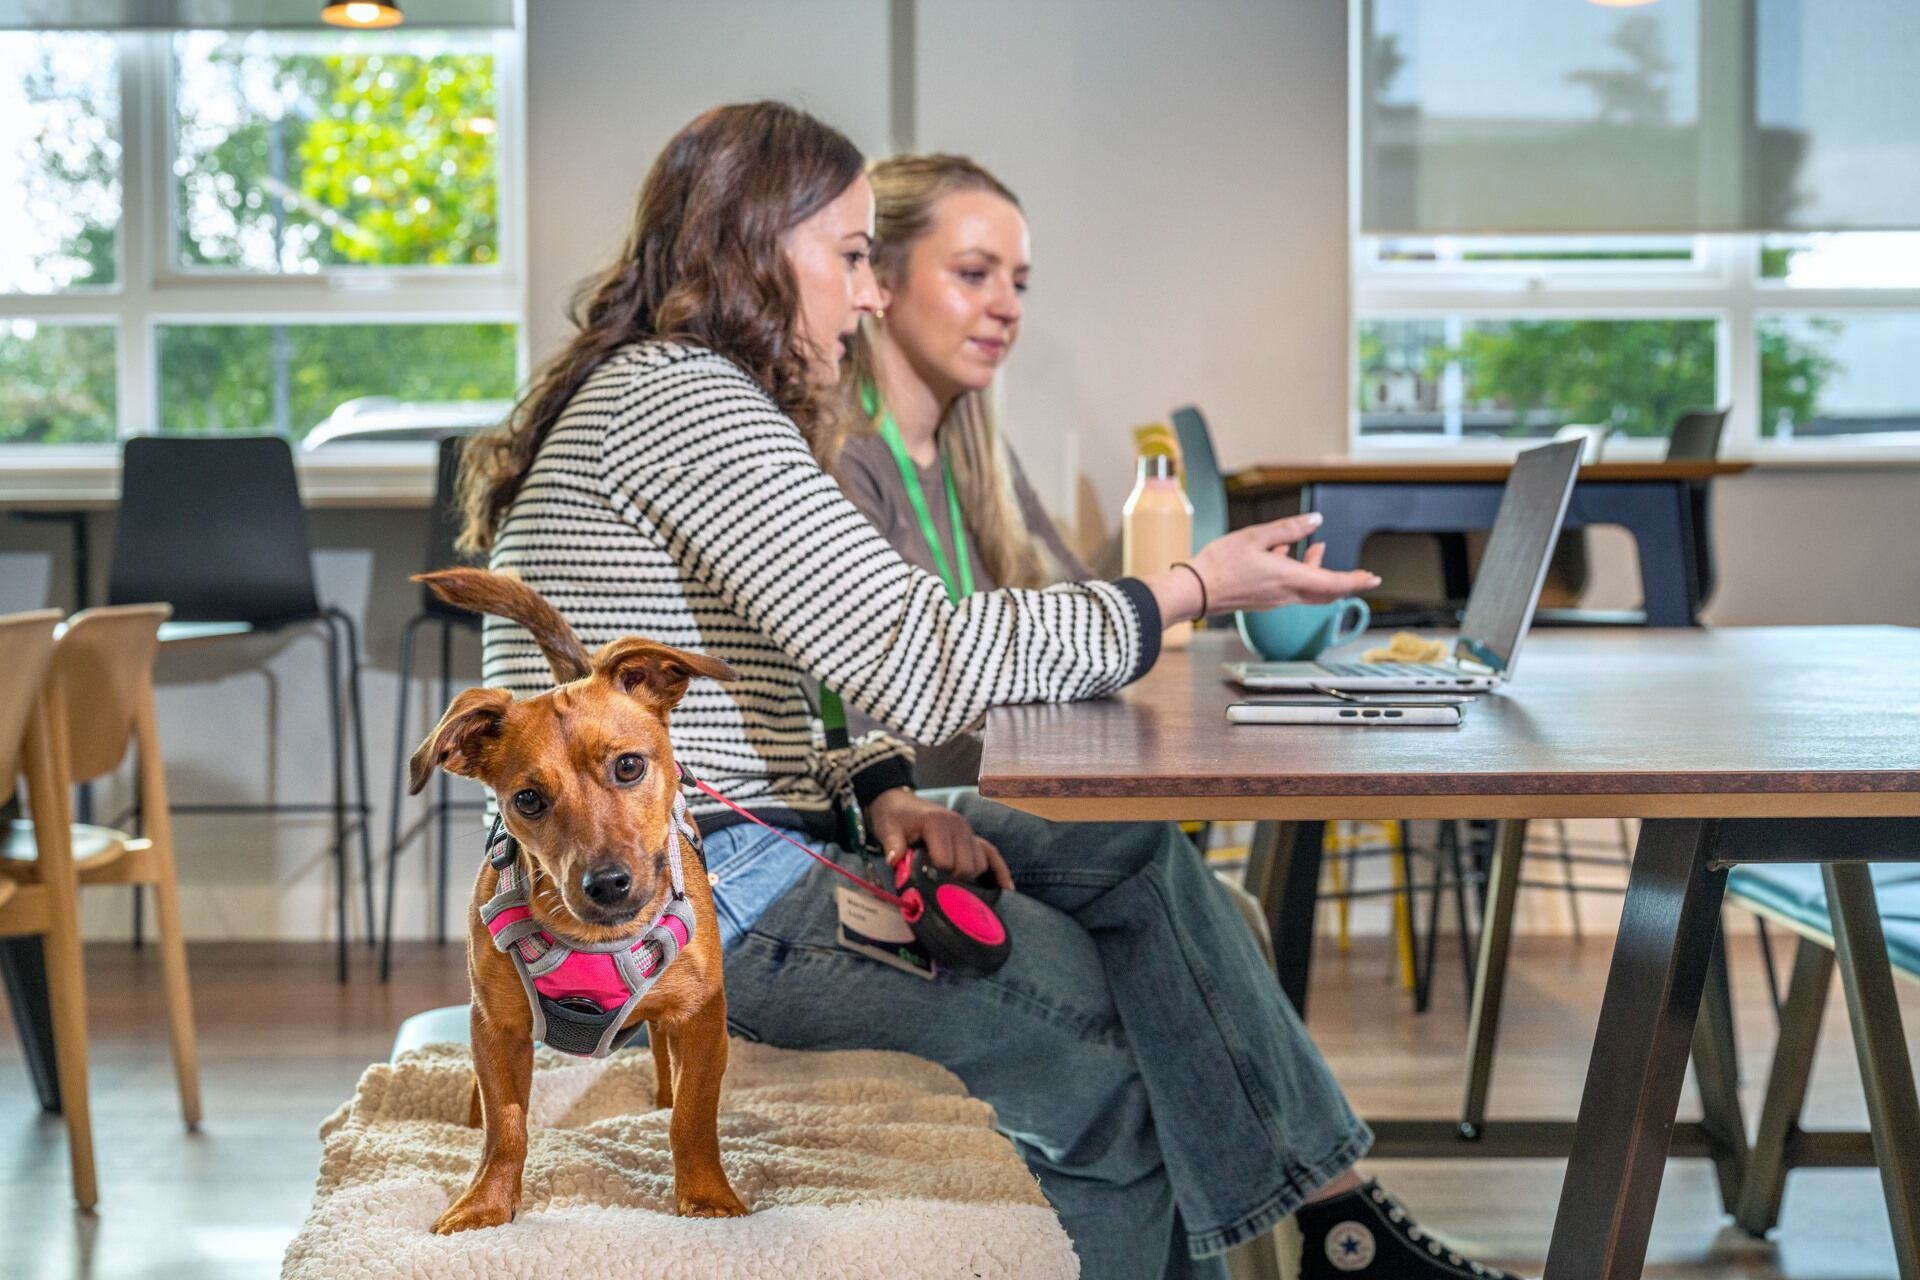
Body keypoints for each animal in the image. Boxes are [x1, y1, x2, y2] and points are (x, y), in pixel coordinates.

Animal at [408, 568, 744, 1228]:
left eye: (630, 766)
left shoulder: (701, 1019)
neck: (596, 938)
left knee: (665, 1064)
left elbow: (693, 1116)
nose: (607, 883)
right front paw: (485, 1204)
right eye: (528, 799)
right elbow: (506, 1127)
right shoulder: (498, 1028)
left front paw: (709, 1199)